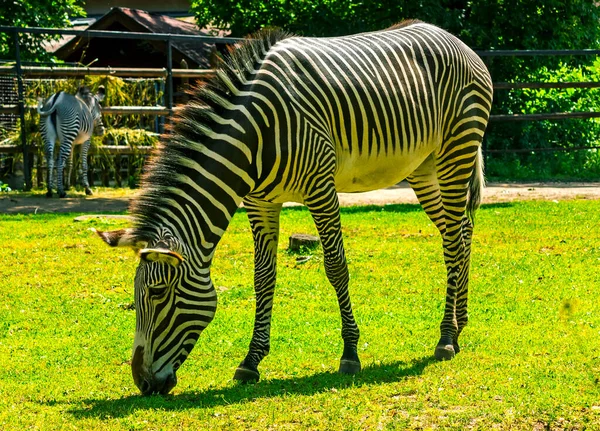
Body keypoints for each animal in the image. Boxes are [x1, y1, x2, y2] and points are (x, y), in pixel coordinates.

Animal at [95, 22, 492, 396]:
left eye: (157, 293)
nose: (143, 382)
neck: (255, 135)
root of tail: (454, 40)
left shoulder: (321, 188)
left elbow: (335, 267)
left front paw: (350, 353)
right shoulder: (260, 201)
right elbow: (263, 278)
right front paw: (251, 361)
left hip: (455, 151)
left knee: (454, 242)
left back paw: (446, 337)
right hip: (423, 167)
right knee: (459, 234)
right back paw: (461, 324)